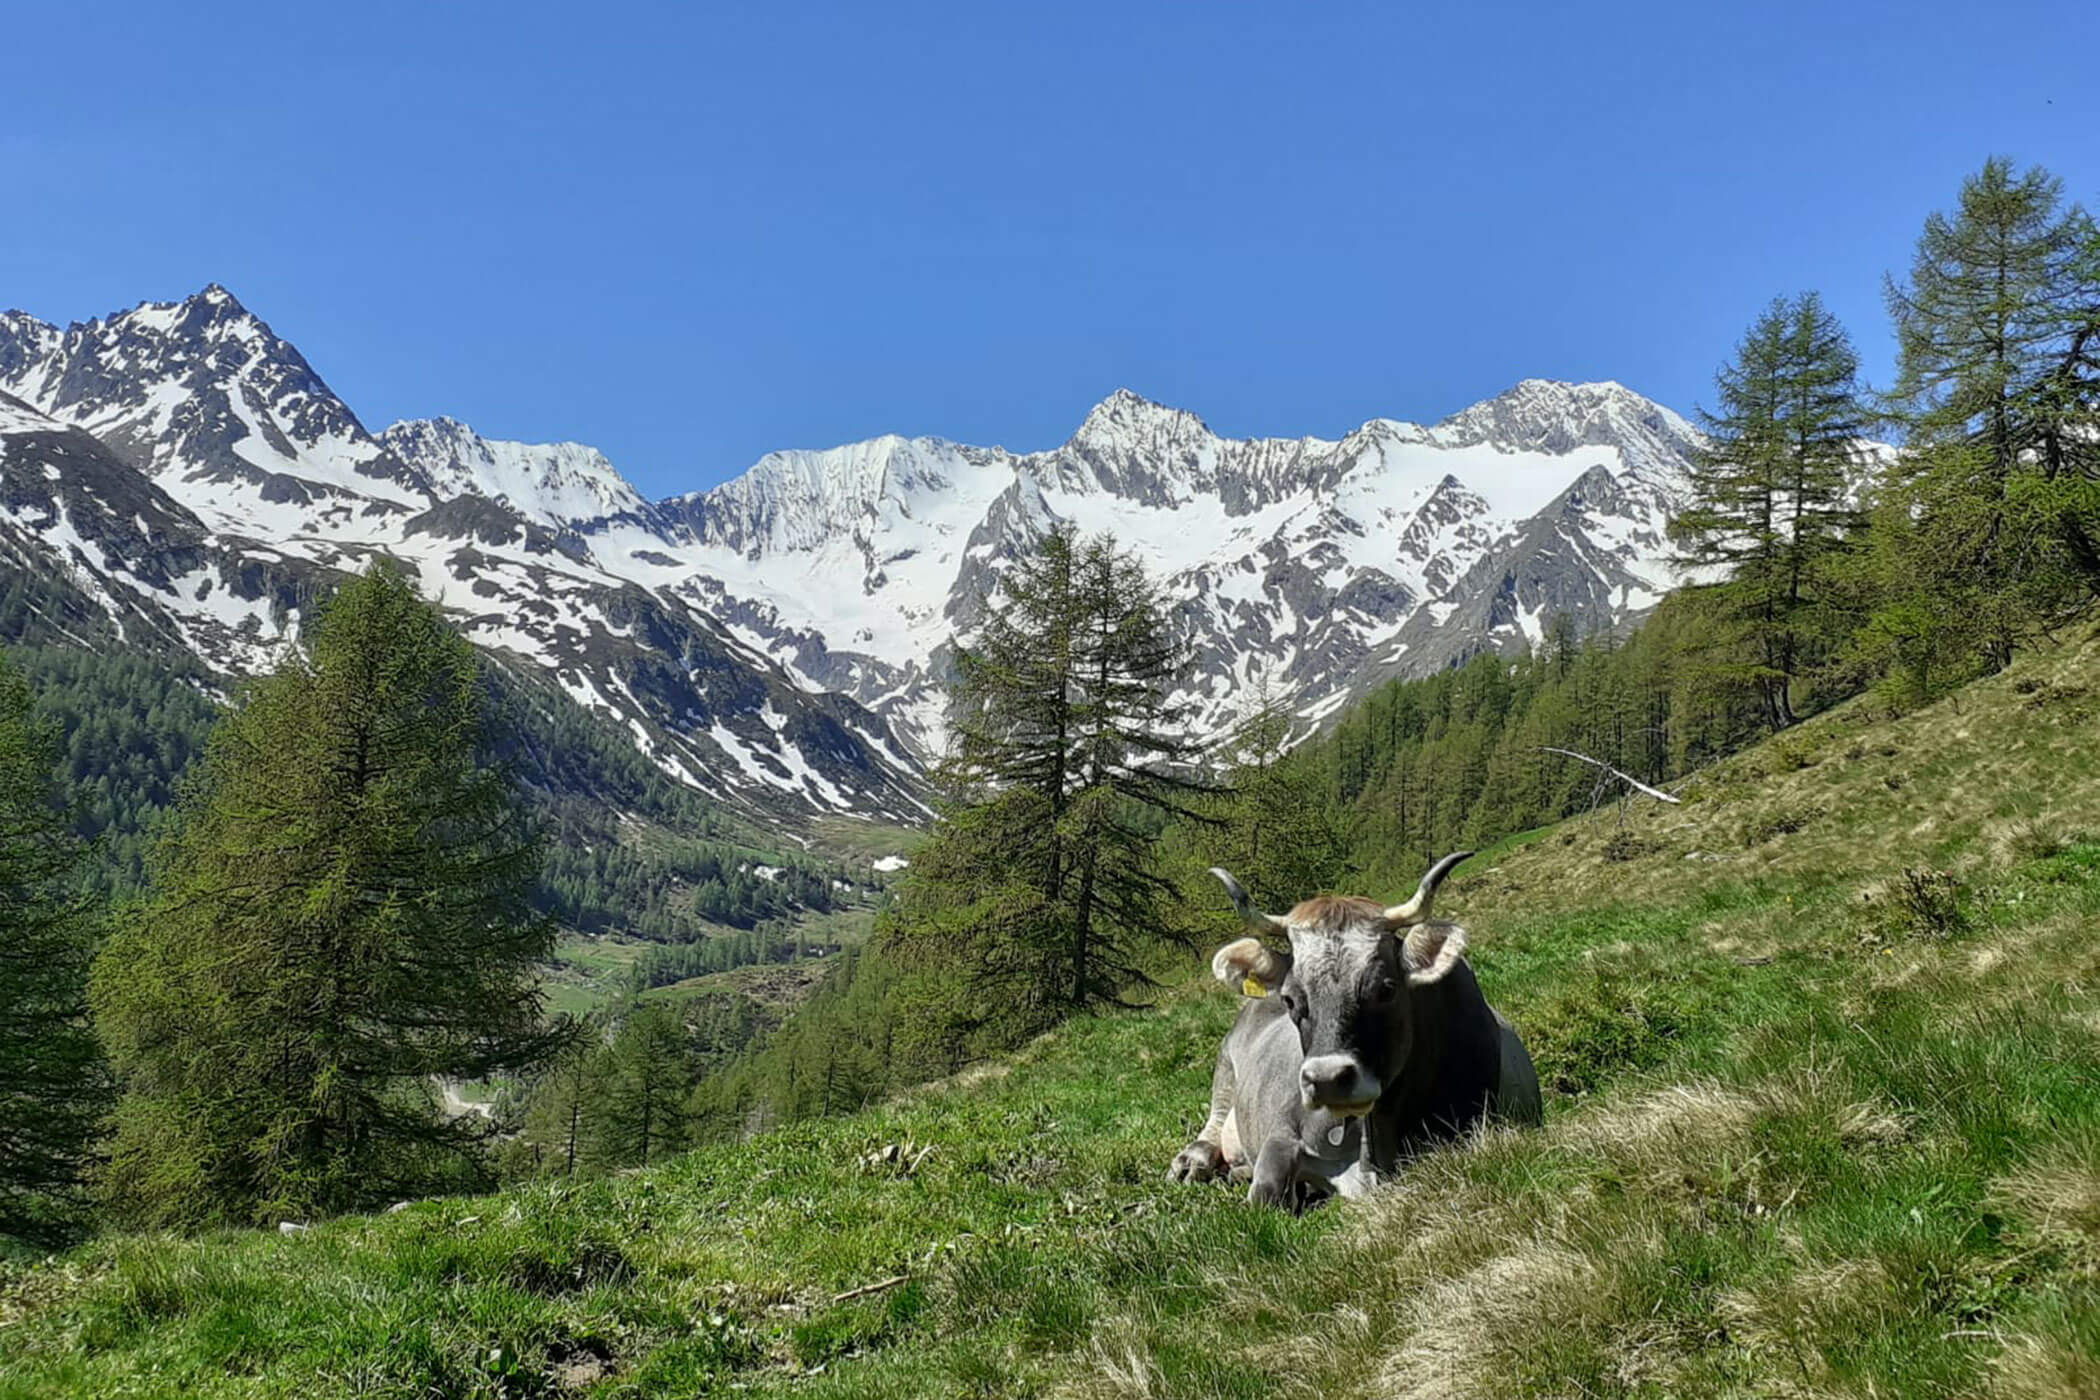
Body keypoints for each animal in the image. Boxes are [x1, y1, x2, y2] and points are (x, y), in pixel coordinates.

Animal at [1167, 852, 1541, 1208]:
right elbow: (1265, 1195)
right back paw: (1192, 1162)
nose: (1327, 1080)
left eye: (1387, 988)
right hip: (1225, 1070)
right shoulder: (1281, 1131)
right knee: (1214, 1122)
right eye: (1290, 999)